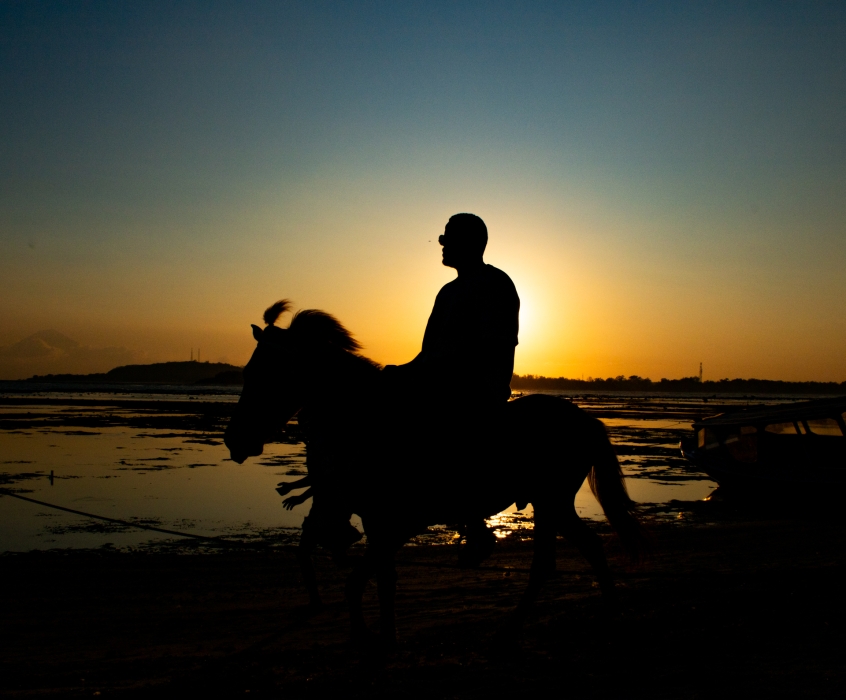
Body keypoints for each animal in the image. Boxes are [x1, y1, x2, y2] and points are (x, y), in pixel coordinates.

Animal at [225, 300, 648, 644]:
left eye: (259, 374)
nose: (234, 440)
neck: (369, 422)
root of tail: (583, 418)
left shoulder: (396, 521)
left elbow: (367, 582)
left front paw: (376, 637)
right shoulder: (379, 522)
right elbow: (374, 582)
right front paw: (375, 634)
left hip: (550, 502)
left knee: (547, 563)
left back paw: (515, 626)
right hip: (554, 504)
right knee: (587, 548)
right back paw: (606, 612)